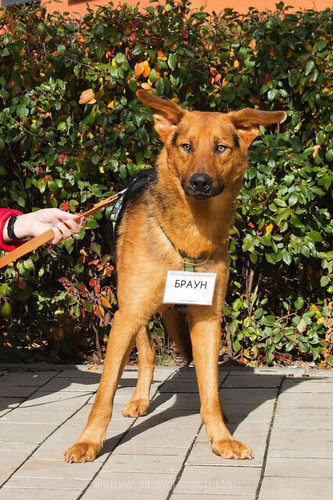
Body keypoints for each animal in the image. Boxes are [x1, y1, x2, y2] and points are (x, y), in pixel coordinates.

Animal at [65, 89, 286, 460]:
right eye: (186, 146)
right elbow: (105, 391)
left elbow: (209, 388)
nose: (200, 182)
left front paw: (221, 436)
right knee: (147, 353)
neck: (190, 234)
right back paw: (139, 399)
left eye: (220, 148)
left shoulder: (208, 319)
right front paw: (89, 441)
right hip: (134, 308)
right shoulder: (127, 315)